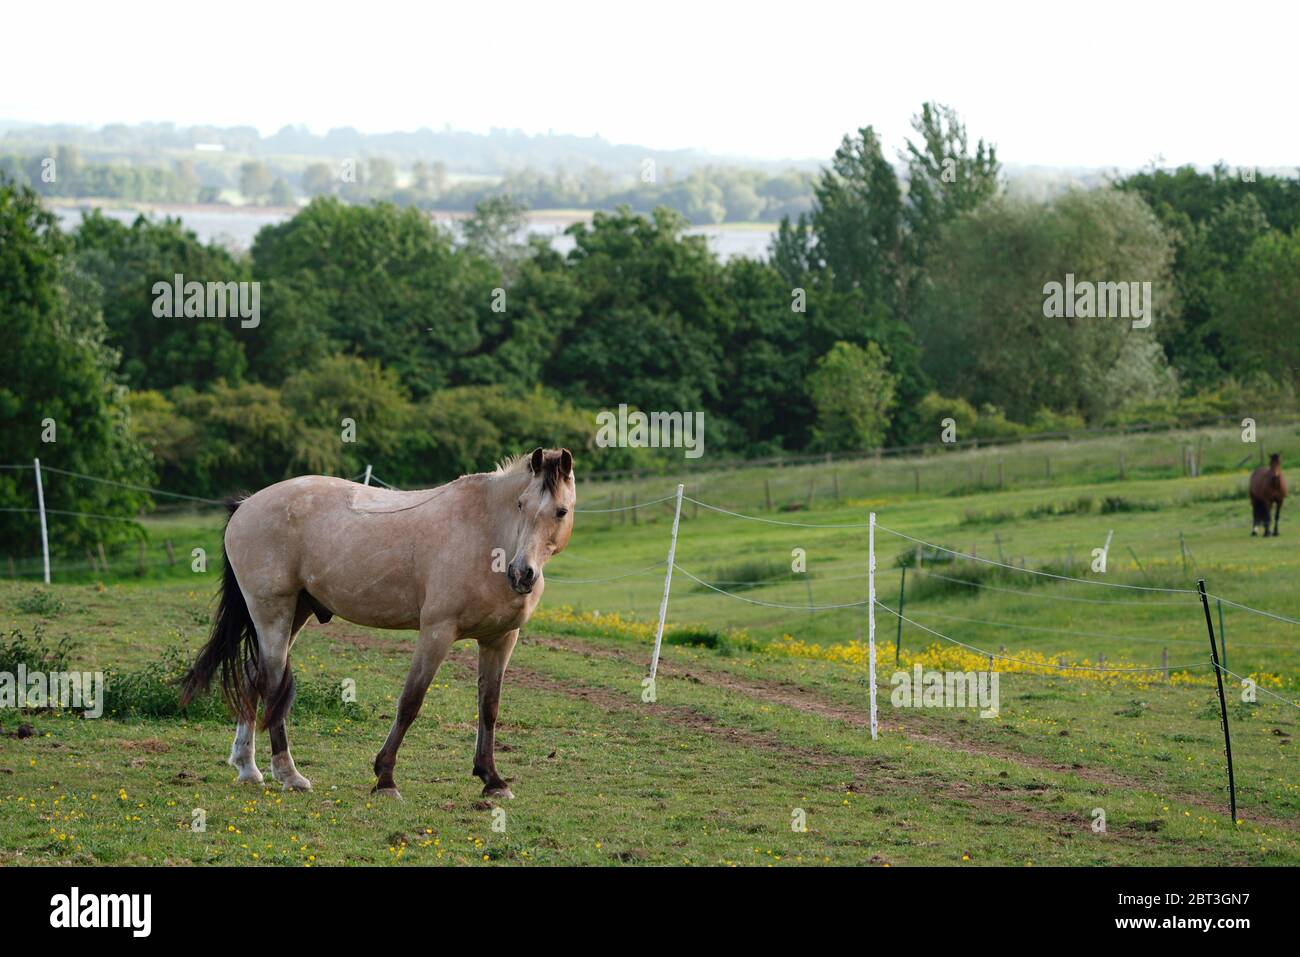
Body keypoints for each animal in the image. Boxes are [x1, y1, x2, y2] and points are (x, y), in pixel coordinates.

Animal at [180, 447, 577, 800]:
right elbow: (410, 702)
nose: (522, 574)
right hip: (273, 612)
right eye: (521, 505)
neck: (487, 534)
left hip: (295, 613)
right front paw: (385, 778)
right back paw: (290, 775)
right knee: (274, 684)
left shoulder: (500, 638)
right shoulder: (437, 632)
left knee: (253, 676)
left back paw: (248, 768)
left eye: (561, 511)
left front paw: (492, 779)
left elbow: (489, 708)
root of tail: (246, 505)